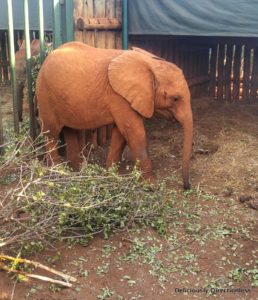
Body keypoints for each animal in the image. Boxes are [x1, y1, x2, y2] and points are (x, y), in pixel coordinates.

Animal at [36, 42, 194, 189]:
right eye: (175, 98)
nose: (186, 186)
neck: (150, 63)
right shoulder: (119, 96)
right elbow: (135, 133)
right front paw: (152, 186)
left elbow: (121, 133)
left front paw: (112, 174)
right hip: (44, 95)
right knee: (51, 133)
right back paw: (58, 173)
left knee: (70, 131)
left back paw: (77, 170)